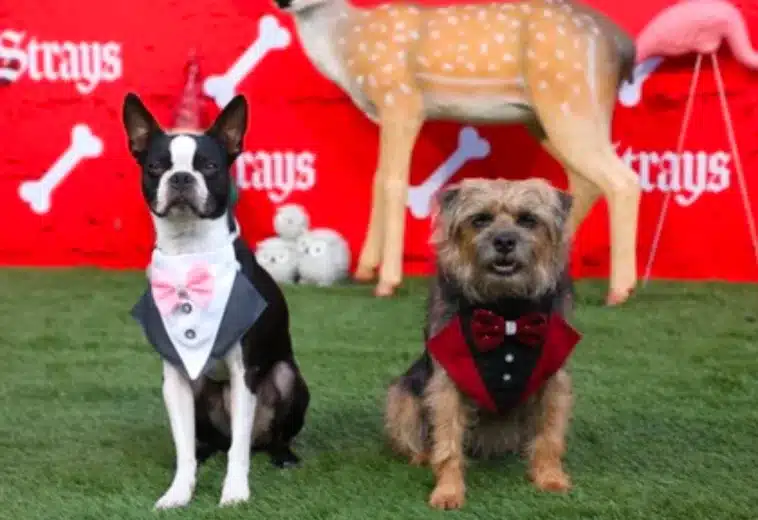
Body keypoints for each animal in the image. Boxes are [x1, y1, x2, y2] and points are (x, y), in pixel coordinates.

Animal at [124, 92, 312, 508]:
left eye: (209, 166)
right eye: (155, 167)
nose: (181, 177)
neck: (190, 252)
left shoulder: (245, 374)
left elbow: (238, 451)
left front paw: (235, 494)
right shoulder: (175, 378)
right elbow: (183, 449)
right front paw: (178, 492)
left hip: (286, 377)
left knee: (261, 437)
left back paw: (283, 456)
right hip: (199, 390)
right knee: (208, 441)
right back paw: (206, 450)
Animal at [386, 177, 580, 510]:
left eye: (528, 219)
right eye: (480, 220)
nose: (504, 241)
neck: (505, 311)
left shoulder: (552, 381)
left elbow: (549, 435)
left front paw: (550, 477)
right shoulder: (448, 381)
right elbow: (448, 441)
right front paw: (448, 490)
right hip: (402, 396)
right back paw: (422, 456)